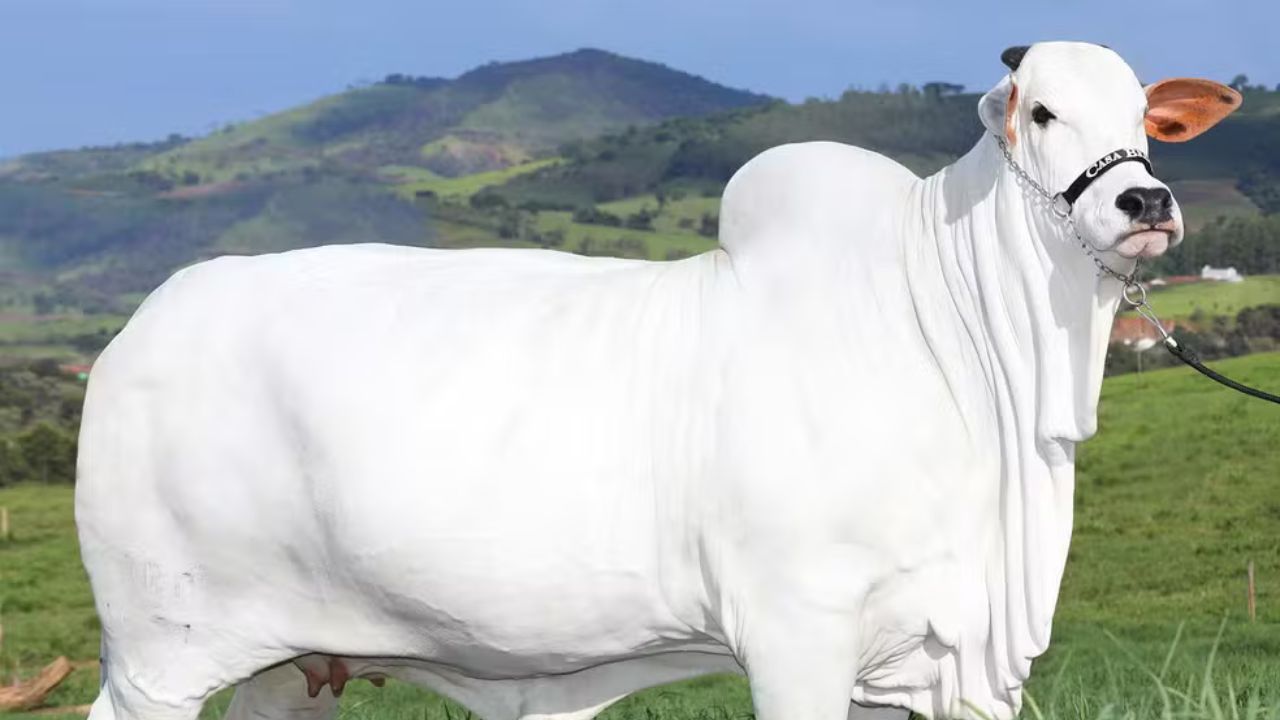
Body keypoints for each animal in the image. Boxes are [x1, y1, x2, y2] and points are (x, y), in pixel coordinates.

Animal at [76, 42, 1240, 720]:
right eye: (1039, 113)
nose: (1145, 204)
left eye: (1145, 117)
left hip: (293, 664)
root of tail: (142, 328)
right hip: (159, 656)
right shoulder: (797, 634)